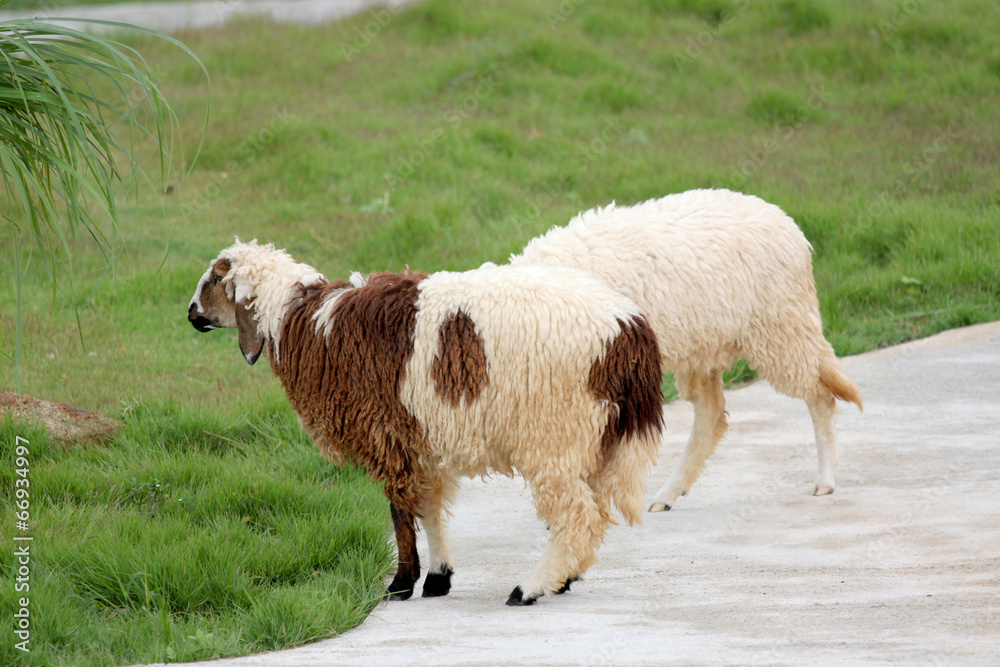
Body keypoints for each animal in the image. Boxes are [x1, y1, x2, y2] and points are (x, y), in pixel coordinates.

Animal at [187, 239, 664, 606]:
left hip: (555, 434)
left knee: (578, 516)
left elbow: (400, 510)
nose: (191, 314)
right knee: (591, 513)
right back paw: (564, 577)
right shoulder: (420, 437)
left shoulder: (385, 433)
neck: (298, 322)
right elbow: (431, 505)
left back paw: (530, 588)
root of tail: (628, 331)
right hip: (594, 436)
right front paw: (438, 576)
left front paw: (400, 584)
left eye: (212, 280)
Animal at [508, 188, 862, 512]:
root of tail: (785, 220)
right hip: (705, 346)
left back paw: (825, 480)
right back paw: (668, 494)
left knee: (819, 394)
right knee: (712, 412)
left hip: (781, 329)